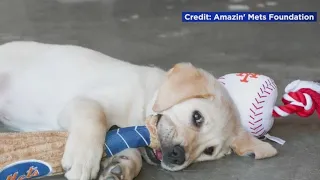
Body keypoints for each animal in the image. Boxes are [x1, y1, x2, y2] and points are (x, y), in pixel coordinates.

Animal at [0, 41, 276, 180]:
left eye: (209, 151)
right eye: (197, 117)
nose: (177, 156)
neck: (143, 102)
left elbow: (128, 152)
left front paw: (119, 168)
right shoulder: (82, 102)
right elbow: (94, 116)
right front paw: (82, 160)